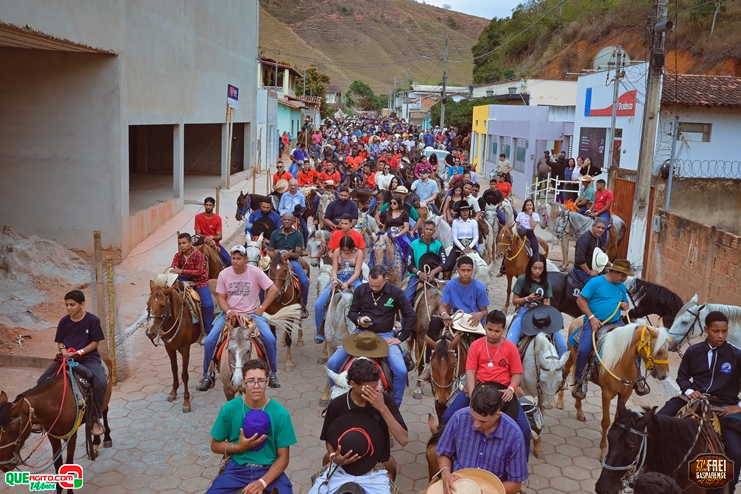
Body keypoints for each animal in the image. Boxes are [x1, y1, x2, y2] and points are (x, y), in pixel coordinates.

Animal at [0, 352, 113, 491]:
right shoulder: (53, 436)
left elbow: (69, 466)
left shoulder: (71, 436)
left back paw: (106, 438)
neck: (56, 402)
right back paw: (95, 443)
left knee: (104, 412)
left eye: (12, 431)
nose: (4, 466)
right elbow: (58, 466)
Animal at [145, 281, 202, 412]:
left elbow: (184, 375)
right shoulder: (169, 348)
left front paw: (186, 402)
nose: (150, 332)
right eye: (147, 304)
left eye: (162, 305)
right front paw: (173, 392)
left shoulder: (185, 349)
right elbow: (174, 369)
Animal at [556, 321, 671, 458]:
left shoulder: (626, 393)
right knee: (565, 373)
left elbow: (617, 419)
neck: (621, 362)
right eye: (659, 351)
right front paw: (604, 450)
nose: (664, 375)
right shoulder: (607, 393)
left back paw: (579, 411)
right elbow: (606, 421)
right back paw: (560, 401)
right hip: (570, 357)